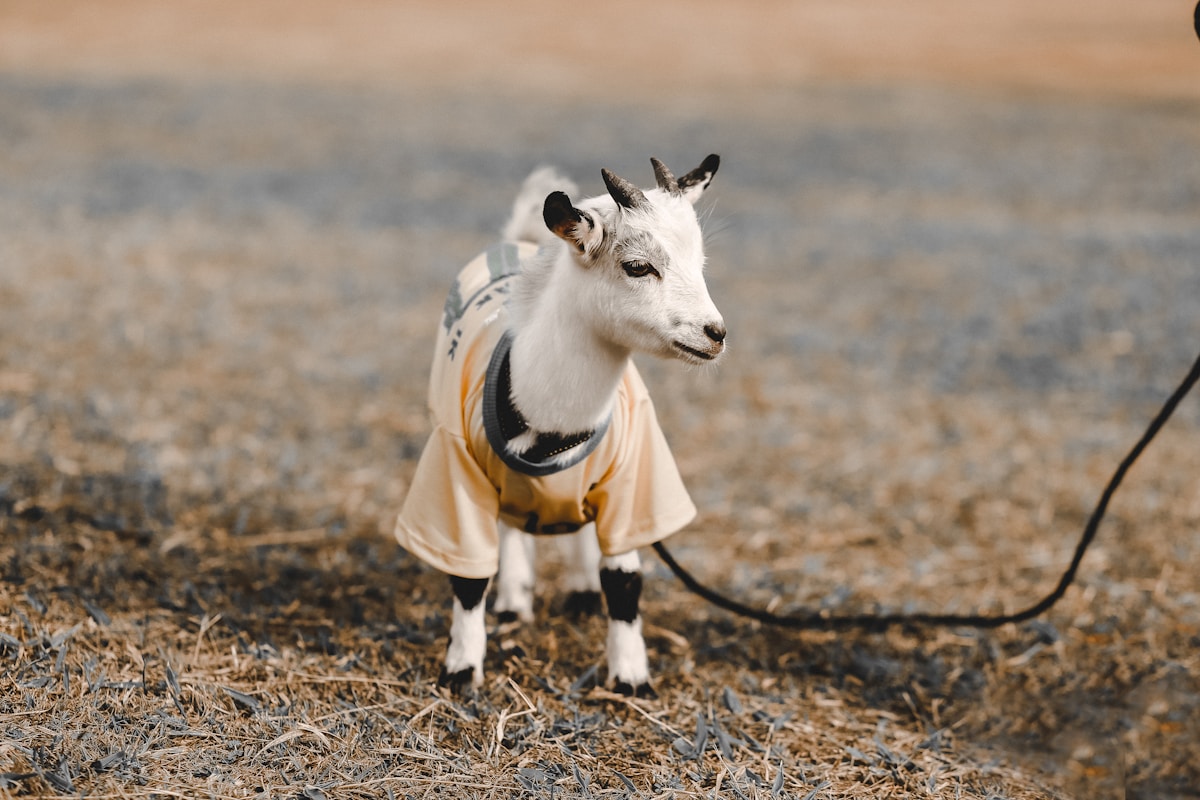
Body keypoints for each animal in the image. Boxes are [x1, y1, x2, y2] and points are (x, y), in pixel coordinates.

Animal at [394, 155, 724, 696]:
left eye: (699, 264)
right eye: (638, 266)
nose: (714, 334)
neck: (551, 419)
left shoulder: (634, 477)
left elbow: (625, 580)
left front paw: (631, 679)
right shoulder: (454, 469)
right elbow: (469, 578)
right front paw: (461, 671)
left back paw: (581, 591)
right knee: (511, 525)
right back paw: (513, 601)